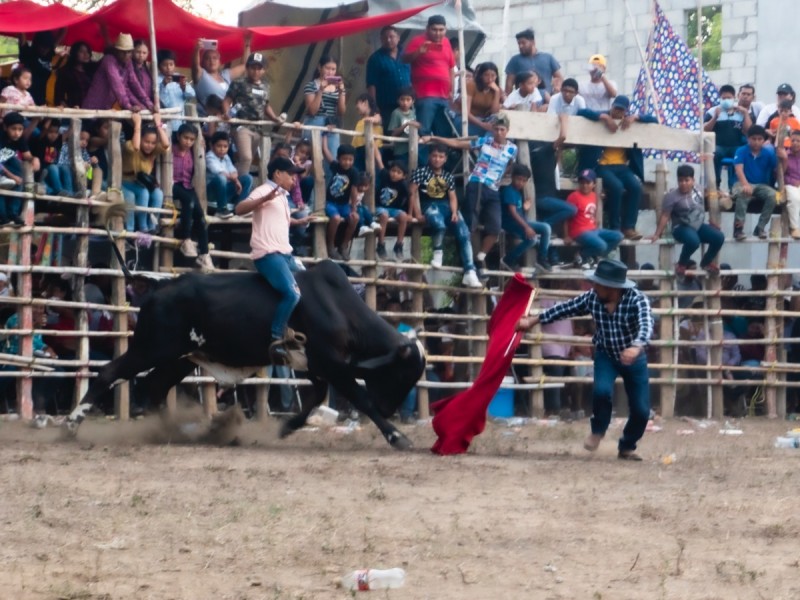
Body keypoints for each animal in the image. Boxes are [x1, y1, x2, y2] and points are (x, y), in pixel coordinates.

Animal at [69, 260, 424, 448]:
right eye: (402, 373)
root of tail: (160, 287)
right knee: (109, 373)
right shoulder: (334, 365)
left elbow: (315, 396)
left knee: (156, 386)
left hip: (178, 359)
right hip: (151, 349)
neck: (338, 307)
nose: (390, 409)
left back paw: (174, 431)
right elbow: (359, 398)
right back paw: (71, 425)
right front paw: (397, 436)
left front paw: (288, 426)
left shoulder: (314, 365)